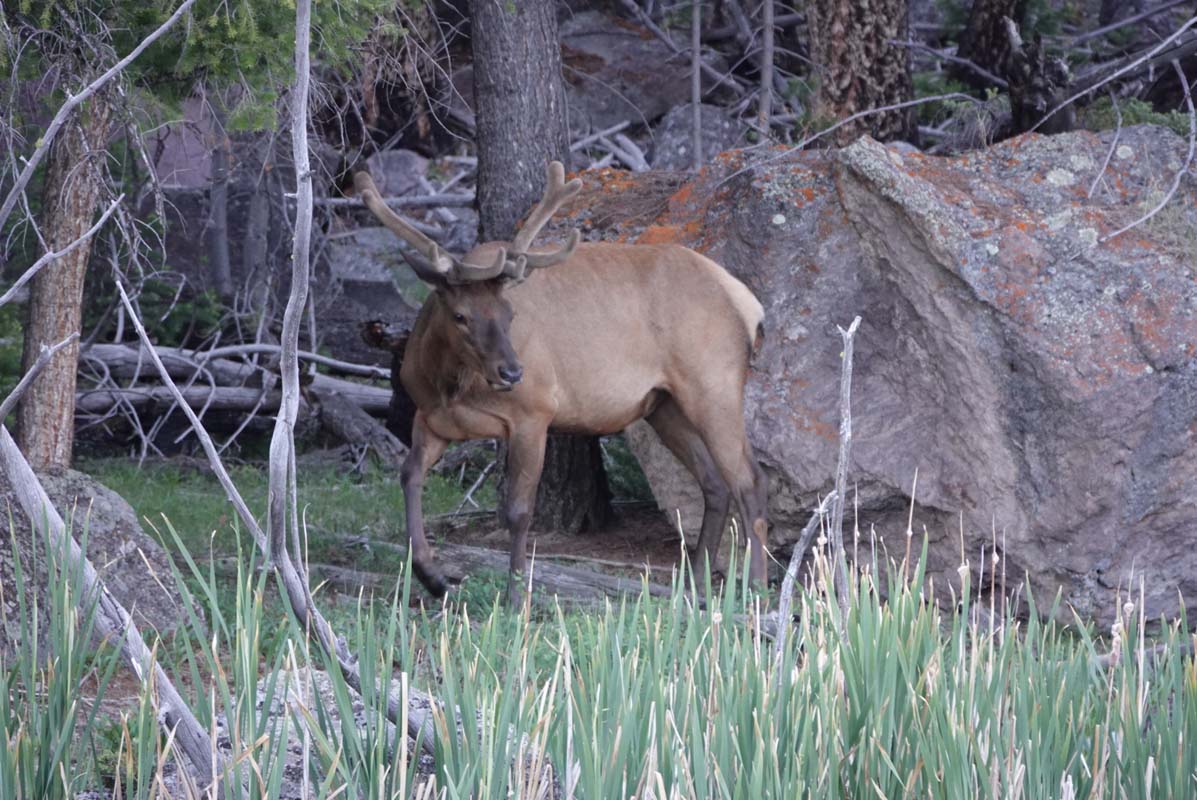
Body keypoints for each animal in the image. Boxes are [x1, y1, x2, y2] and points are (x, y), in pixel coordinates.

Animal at [351, 162, 766, 598]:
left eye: (510, 313)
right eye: (460, 315)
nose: (512, 371)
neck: (450, 386)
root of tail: (748, 302)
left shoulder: (534, 413)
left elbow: (518, 511)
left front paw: (517, 596)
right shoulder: (429, 417)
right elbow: (409, 475)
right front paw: (431, 576)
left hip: (713, 383)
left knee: (750, 480)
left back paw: (756, 587)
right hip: (662, 403)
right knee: (715, 483)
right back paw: (696, 585)